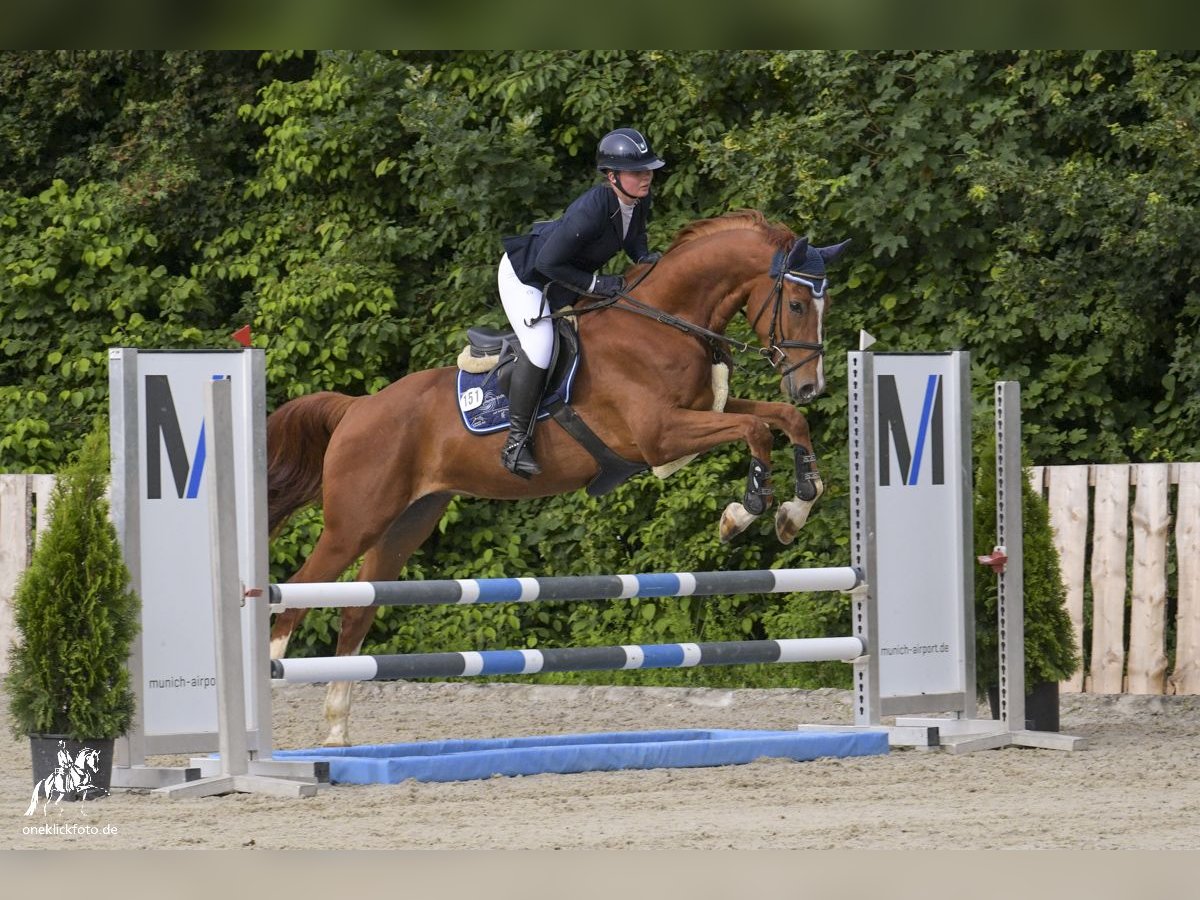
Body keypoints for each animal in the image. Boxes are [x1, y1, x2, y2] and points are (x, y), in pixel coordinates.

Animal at [267, 211, 849, 748]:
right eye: (798, 305)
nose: (810, 386)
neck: (664, 324)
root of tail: (357, 408)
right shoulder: (661, 436)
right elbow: (756, 430)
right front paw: (743, 512)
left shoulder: (704, 412)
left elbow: (781, 421)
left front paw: (795, 508)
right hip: (354, 524)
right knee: (296, 595)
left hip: (405, 524)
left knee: (355, 611)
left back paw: (337, 731)